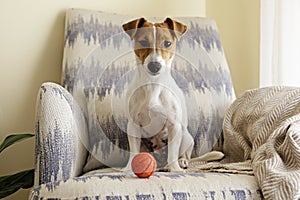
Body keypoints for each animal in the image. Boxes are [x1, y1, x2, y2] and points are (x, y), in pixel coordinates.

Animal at [122, 17, 195, 172]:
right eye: (143, 42)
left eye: (167, 43)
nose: (155, 66)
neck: (153, 85)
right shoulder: (133, 125)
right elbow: (133, 151)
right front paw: (129, 168)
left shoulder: (174, 125)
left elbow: (172, 152)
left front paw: (174, 169)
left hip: (186, 136)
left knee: (184, 153)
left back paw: (180, 162)